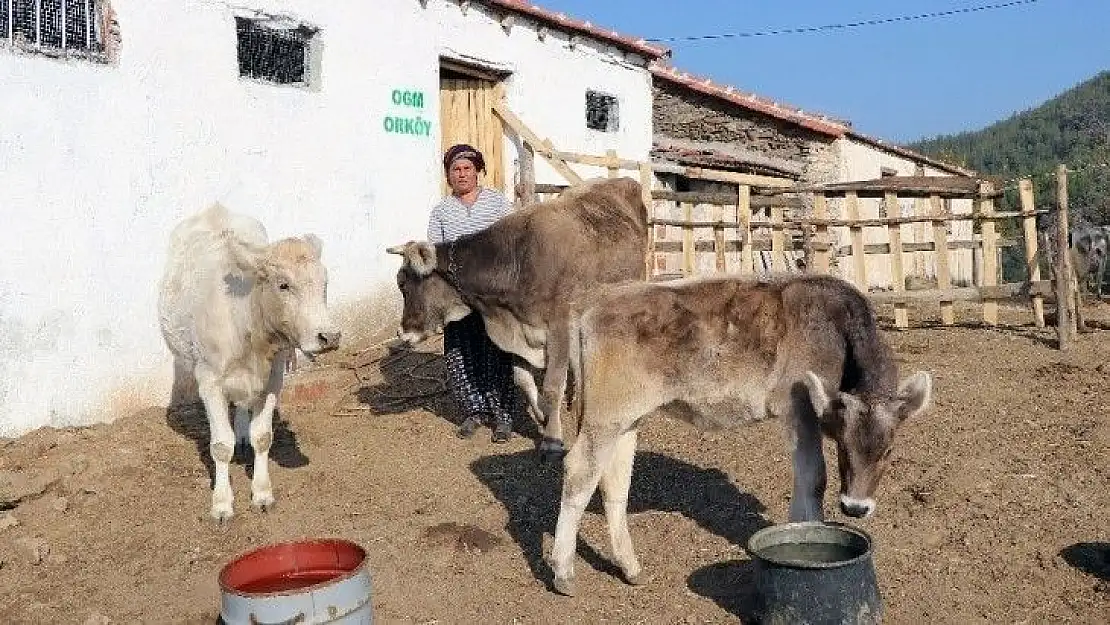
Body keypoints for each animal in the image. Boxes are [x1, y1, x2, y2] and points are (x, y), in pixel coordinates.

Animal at [156, 205, 337, 523]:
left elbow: (262, 436)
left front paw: (262, 493)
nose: (329, 336)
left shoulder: (273, 377)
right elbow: (220, 445)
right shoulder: (209, 381)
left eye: (324, 282)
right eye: (283, 284)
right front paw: (222, 504)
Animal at [388, 176, 648, 459]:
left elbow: (552, 386)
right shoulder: (520, 331)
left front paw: (552, 439)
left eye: (403, 285)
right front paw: (542, 415)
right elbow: (522, 379)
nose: (403, 332)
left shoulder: (559, 327)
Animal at [550, 274, 932, 595]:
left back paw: (630, 567)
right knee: (580, 470)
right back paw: (563, 571)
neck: (836, 331)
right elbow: (813, 477)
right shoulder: (798, 406)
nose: (855, 507)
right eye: (842, 446)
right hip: (605, 416)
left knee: (613, 480)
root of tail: (597, 299)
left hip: (627, 418)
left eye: (889, 451)